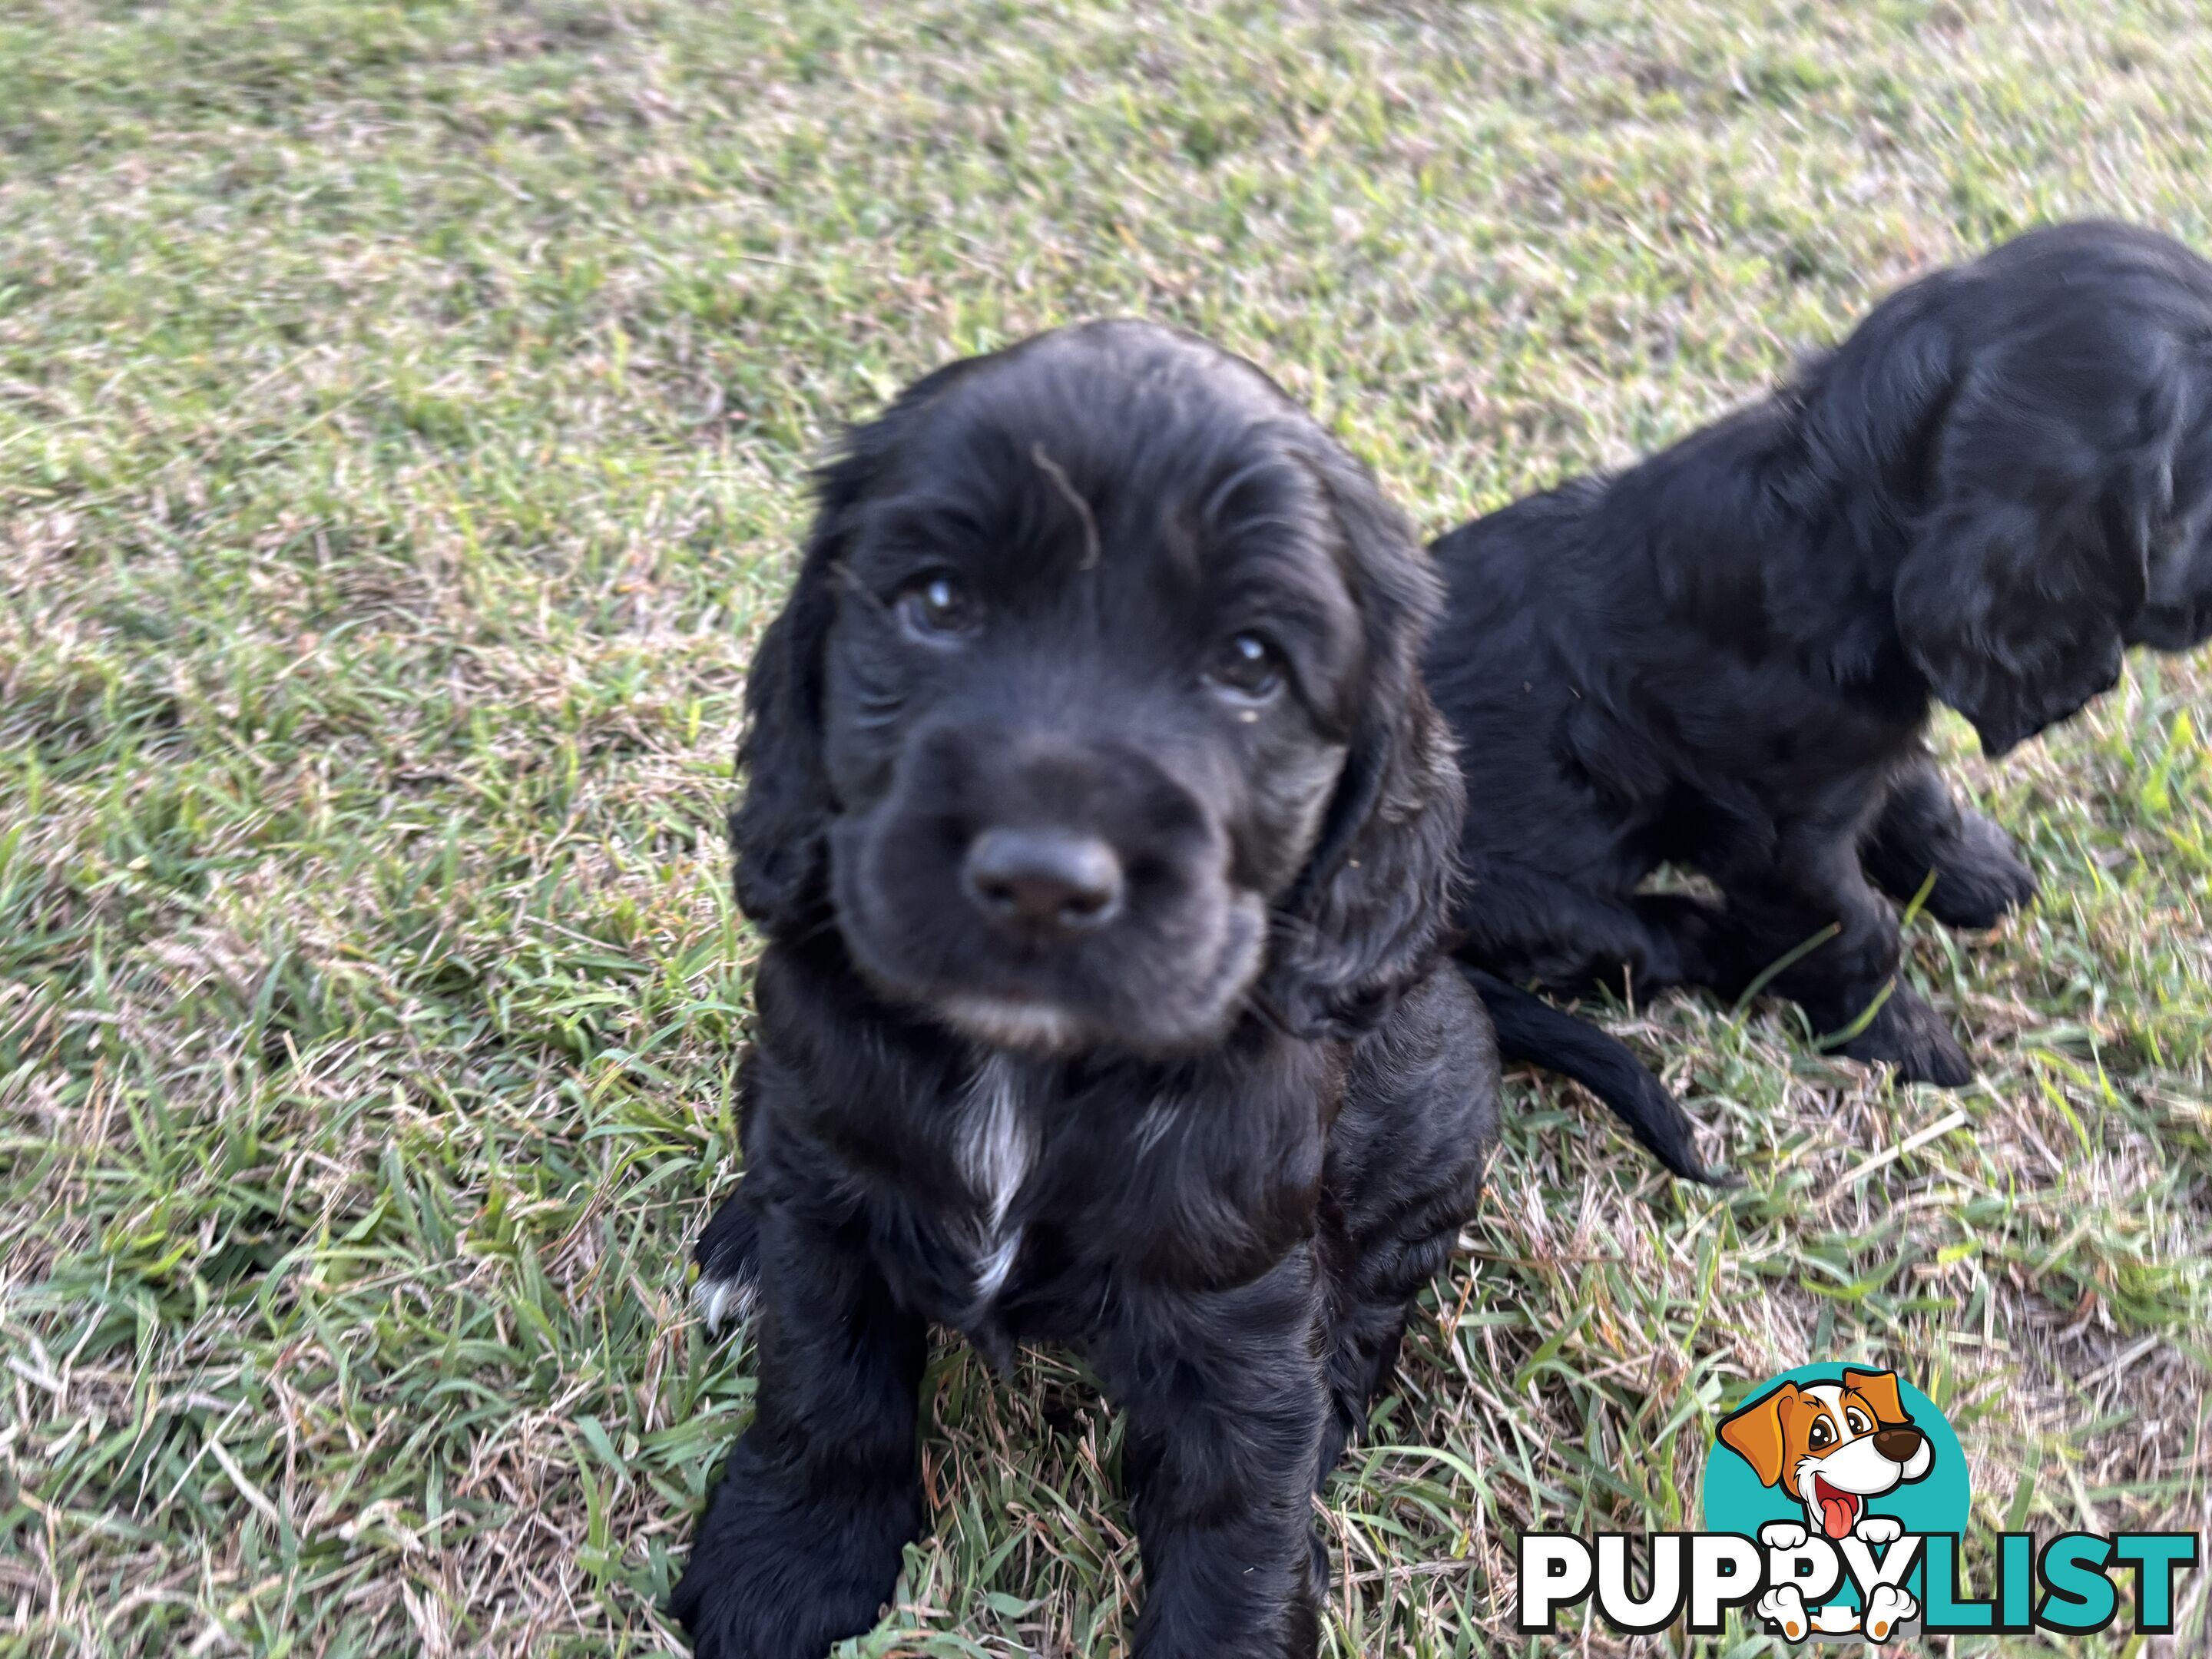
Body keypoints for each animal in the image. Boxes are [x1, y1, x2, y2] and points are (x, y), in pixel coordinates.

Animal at [677, 320, 1504, 1659]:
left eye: (1251, 663)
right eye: (939, 602)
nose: (1041, 881)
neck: (1031, 1064)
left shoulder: (1239, 1303)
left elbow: (1241, 1512)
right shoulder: (833, 1191)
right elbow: (825, 1378)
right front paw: (784, 1565)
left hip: (1437, 1094)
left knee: (1381, 1290)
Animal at [1433, 217, 2212, 1132]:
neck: (1831, 532)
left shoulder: (1869, 746)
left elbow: (1918, 795)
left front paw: (1983, 878)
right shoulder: (1777, 837)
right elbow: (1854, 928)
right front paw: (1908, 1040)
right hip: (1524, 901)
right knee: (1647, 942)